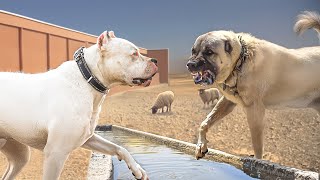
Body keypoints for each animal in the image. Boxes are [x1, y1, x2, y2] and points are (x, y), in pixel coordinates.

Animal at [0, 30, 158, 179]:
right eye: (134, 53)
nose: (155, 60)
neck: (87, 79)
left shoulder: (88, 138)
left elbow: (119, 147)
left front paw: (137, 170)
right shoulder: (55, 153)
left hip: (20, 155)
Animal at [185, 11, 320, 160]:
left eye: (209, 52)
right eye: (193, 51)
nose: (190, 64)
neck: (240, 62)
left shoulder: (255, 111)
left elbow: (257, 146)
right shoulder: (228, 102)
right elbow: (205, 123)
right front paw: (200, 145)